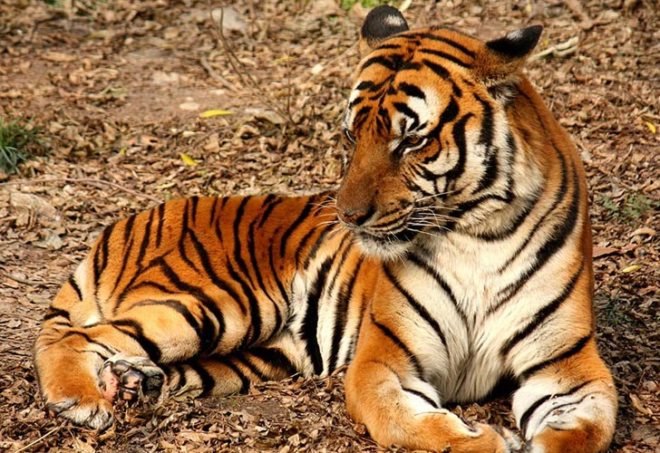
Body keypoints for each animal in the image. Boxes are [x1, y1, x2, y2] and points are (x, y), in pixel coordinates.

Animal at [34, 5, 617, 452]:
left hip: (259, 354)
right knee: (76, 334)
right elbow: (415, 423)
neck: (476, 235)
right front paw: (489, 440)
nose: (348, 216)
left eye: (411, 140)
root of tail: (124, 223)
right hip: (217, 303)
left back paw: (134, 383)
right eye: (351, 135)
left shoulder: (568, 367)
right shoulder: (384, 360)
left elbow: (584, 432)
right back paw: (82, 400)